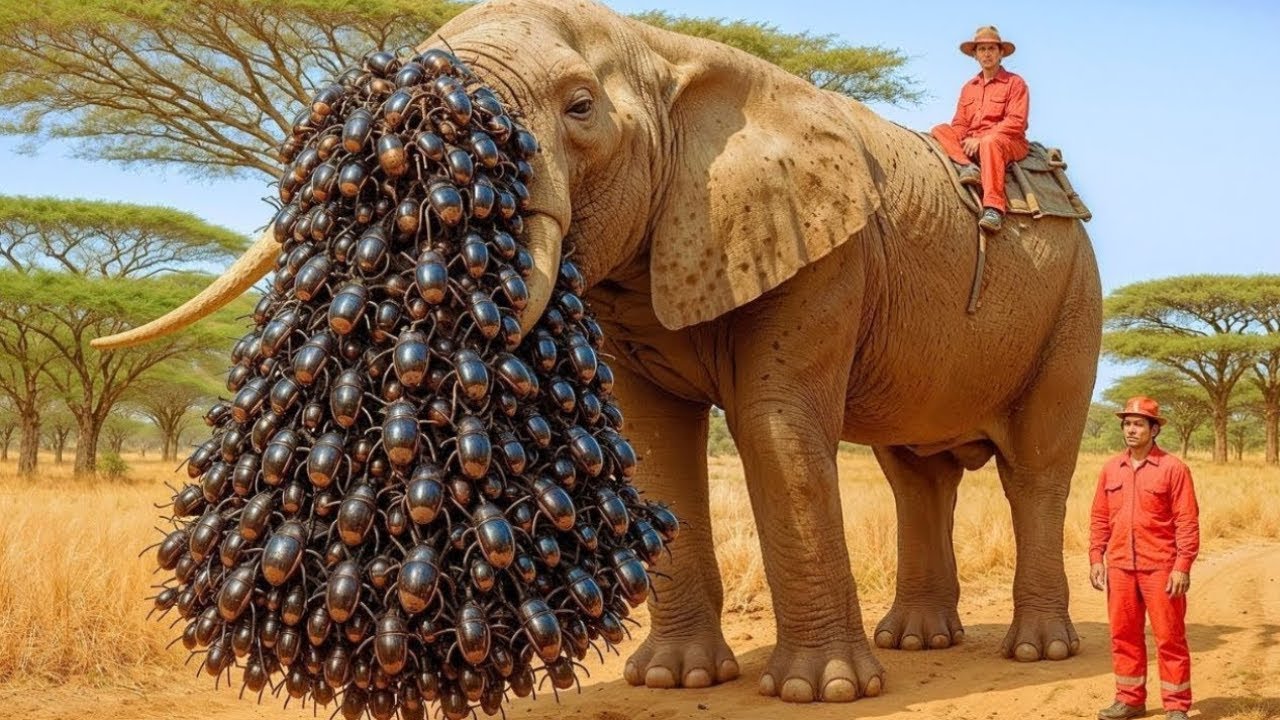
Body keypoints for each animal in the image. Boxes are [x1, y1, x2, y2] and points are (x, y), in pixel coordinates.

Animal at [94, 0, 1102, 705]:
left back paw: (1034, 652)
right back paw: (919, 644)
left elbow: (776, 430)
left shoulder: (830, 251)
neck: (663, 50)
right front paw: (676, 681)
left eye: (580, 108)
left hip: (1075, 303)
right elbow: (655, 445)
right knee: (915, 475)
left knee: (1035, 470)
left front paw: (820, 694)